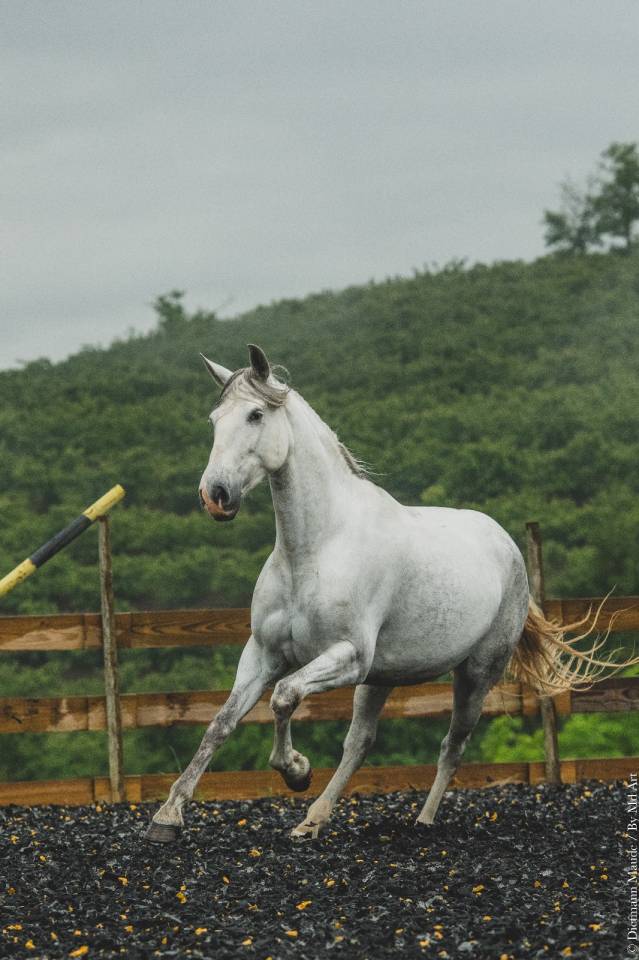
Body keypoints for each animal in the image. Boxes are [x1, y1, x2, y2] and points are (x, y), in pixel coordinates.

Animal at [145, 344, 630, 843]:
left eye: (256, 414)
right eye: (214, 419)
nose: (215, 495)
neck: (315, 548)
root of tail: (506, 543)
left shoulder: (348, 656)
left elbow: (283, 697)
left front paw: (296, 770)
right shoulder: (264, 653)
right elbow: (221, 723)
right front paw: (167, 817)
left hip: (475, 673)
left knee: (452, 745)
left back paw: (422, 820)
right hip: (383, 676)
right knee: (361, 742)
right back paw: (313, 819)